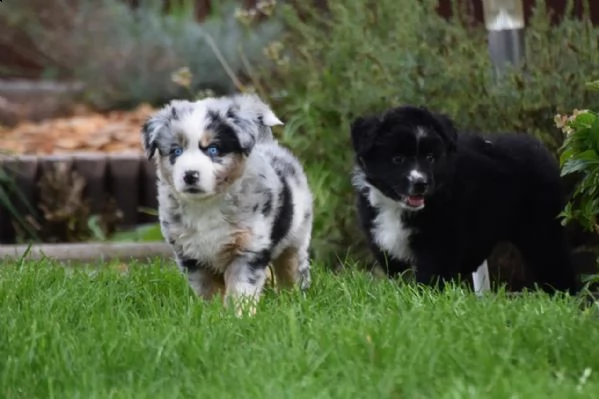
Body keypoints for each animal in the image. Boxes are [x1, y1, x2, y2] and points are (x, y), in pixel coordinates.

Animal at [141, 94, 314, 316]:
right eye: (176, 151)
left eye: (213, 149)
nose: (190, 175)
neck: (207, 204)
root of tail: (266, 144)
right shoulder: (191, 255)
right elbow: (207, 291)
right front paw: (212, 315)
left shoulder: (248, 249)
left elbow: (241, 289)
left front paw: (239, 316)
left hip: (296, 237)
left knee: (292, 269)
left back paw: (293, 300)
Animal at [352, 104, 580, 296]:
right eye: (397, 159)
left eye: (430, 158)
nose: (421, 183)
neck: (397, 208)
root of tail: (539, 148)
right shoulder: (385, 246)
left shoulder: (439, 244)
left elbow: (429, 279)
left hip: (542, 229)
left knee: (555, 263)